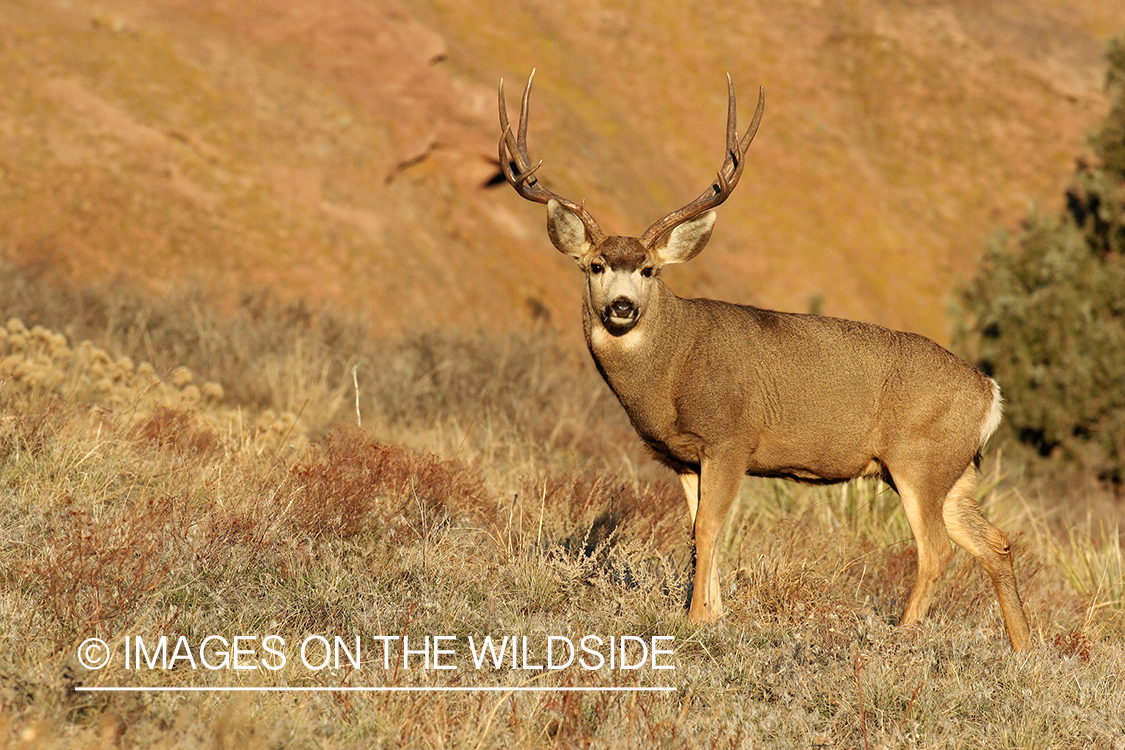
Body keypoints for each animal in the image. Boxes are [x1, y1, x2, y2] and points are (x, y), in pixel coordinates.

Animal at [497, 73, 1030, 652]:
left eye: (648, 270)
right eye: (595, 265)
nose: (622, 306)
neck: (672, 367)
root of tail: (990, 392)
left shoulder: (731, 439)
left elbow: (708, 529)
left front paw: (694, 621)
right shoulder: (684, 456)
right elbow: (699, 531)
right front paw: (713, 614)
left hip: (919, 459)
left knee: (937, 549)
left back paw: (903, 637)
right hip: (955, 471)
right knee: (995, 543)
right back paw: (1025, 649)